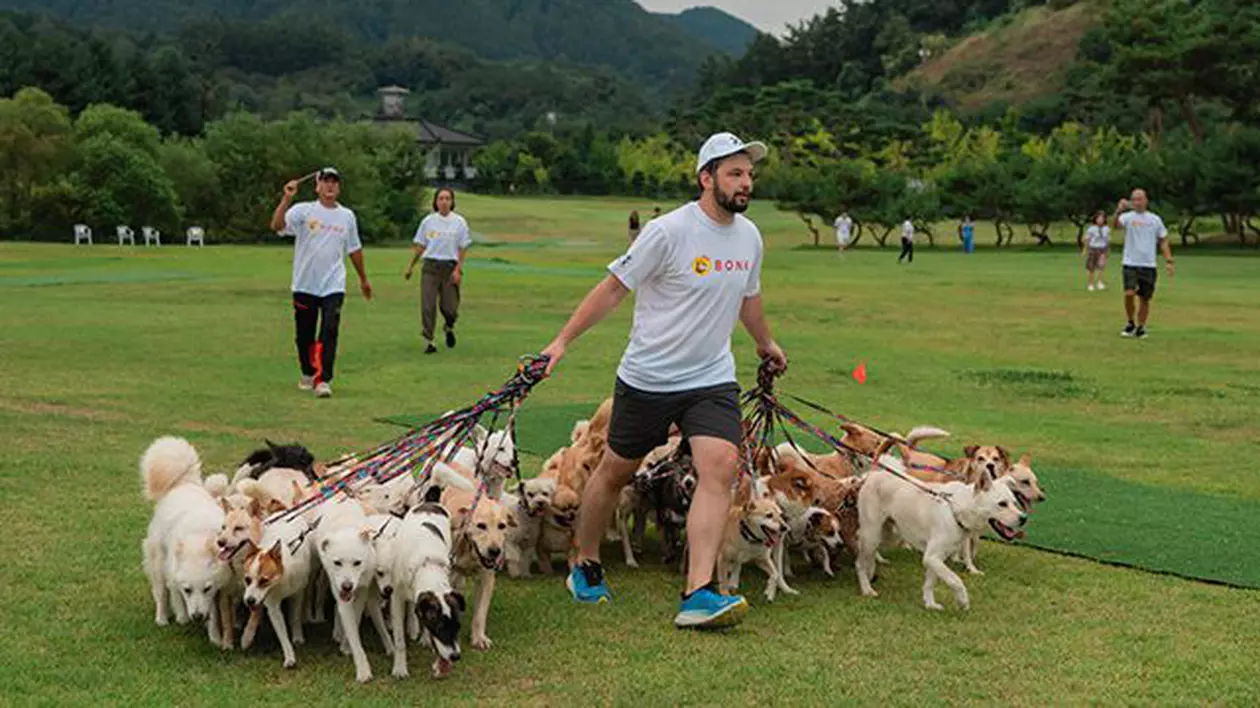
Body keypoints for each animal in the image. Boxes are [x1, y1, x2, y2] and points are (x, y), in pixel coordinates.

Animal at [141, 430, 233, 645]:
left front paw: (215, 637)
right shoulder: (174, 573)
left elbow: (214, 613)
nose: (197, 616)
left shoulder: (216, 589)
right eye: (188, 590)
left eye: (206, 589)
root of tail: (183, 482)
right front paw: (182, 617)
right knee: (161, 592)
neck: (198, 537)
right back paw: (162, 618)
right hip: (158, 561)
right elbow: (175, 594)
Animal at [851, 453, 1028, 609]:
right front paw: (963, 601)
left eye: (1014, 502)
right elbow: (955, 580)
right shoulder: (932, 557)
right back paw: (867, 589)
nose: (1024, 519)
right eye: (1002, 504)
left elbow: (930, 583)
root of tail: (872, 475)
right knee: (859, 562)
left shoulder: (936, 558)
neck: (955, 509)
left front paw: (930, 604)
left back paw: (872, 571)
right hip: (872, 534)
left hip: (889, 535)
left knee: (870, 555)